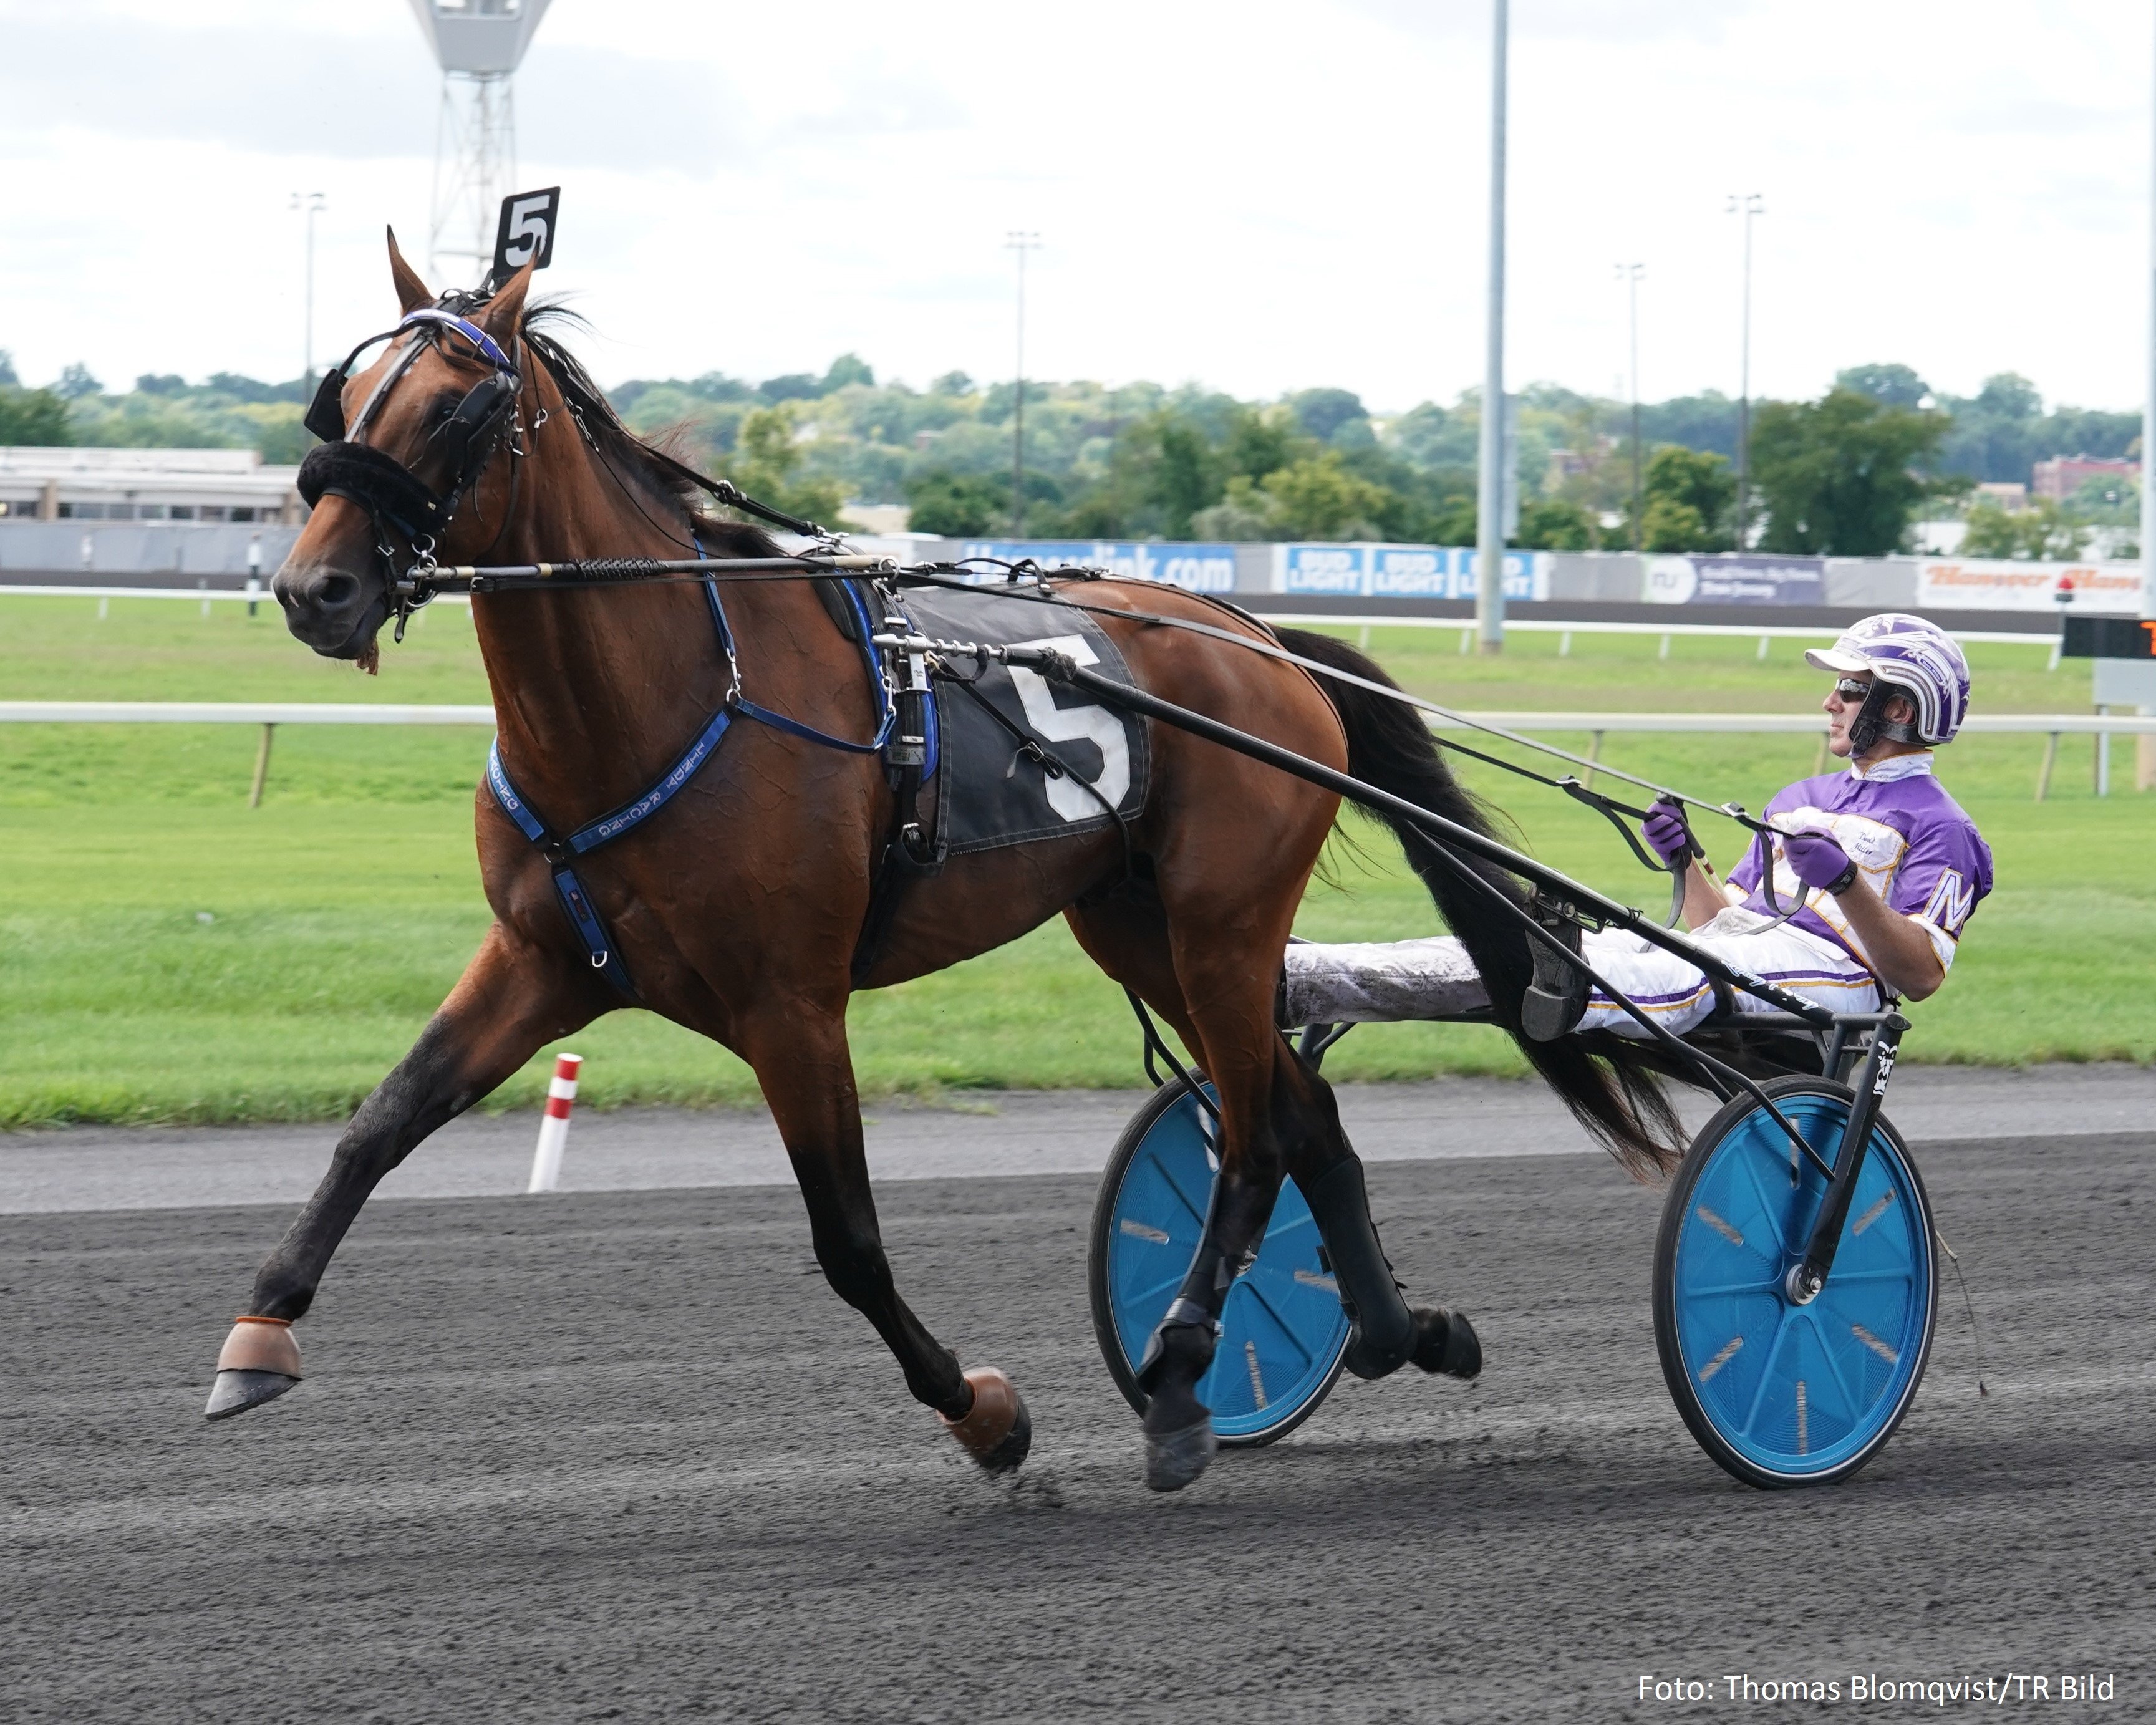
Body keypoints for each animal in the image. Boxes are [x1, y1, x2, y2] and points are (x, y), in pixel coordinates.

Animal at [217, 232, 1681, 1492]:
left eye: (459, 411)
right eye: (347, 396)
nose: (313, 590)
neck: (665, 698)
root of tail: (1259, 635)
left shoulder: (790, 1003)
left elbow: (849, 1242)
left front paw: (983, 1411)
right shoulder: (544, 959)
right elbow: (380, 1121)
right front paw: (259, 1332)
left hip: (1221, 920)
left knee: (1262, 1130)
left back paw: (1183, 1373)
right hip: (1138, 921)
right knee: (1303, 1114)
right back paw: (1394, 1333)